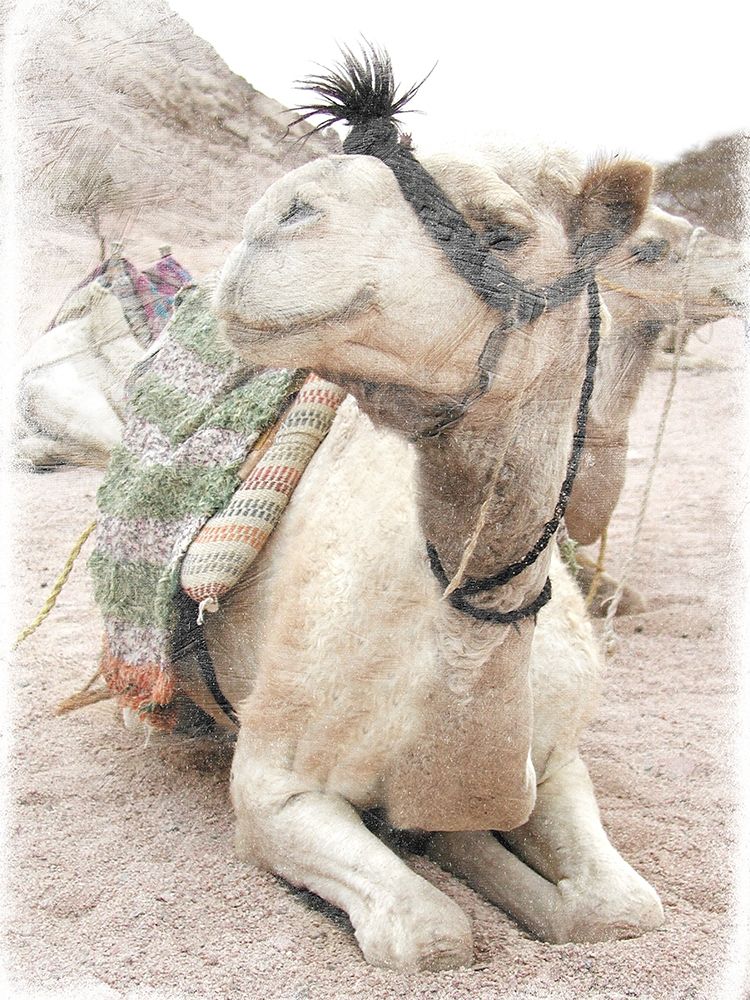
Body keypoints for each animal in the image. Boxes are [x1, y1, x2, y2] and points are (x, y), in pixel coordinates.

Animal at [140, 55, 672, 971]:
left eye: (501, 231)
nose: (280, 211)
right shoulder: (273, 787)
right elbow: (430, 934)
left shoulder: (557, 756)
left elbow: (621, 909)